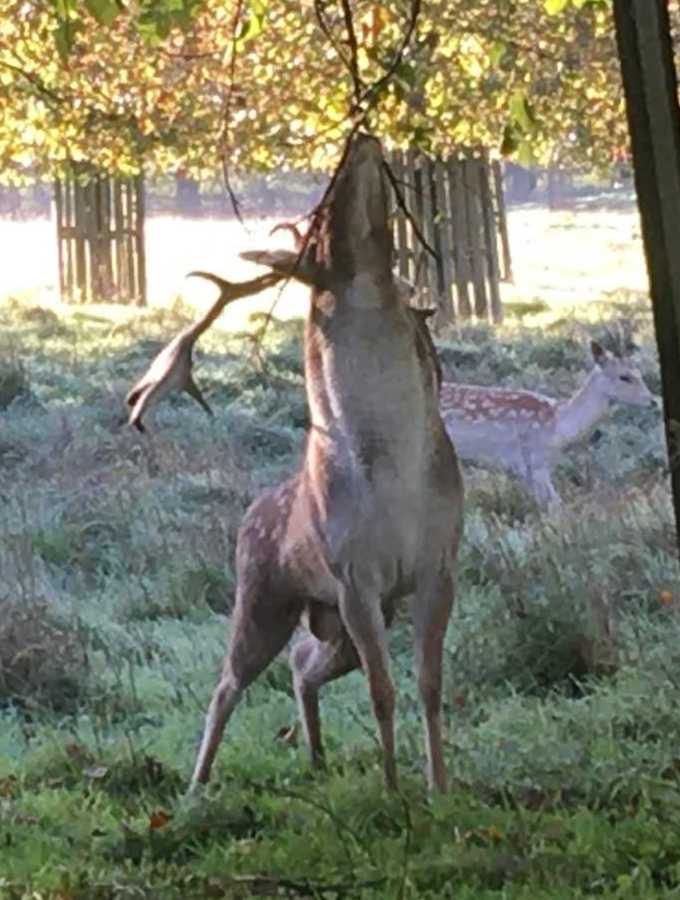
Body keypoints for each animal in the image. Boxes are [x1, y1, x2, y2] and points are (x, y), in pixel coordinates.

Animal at [182, 134, 464, 793]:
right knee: (227, 684)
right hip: (262, 595)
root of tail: (250, 513)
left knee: (302, 662)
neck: (394, 469)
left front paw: (439, 787)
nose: (360, 138)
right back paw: (196, 785)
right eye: (317, 230)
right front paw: (393, 790)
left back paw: (313, 753)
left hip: (330, 619)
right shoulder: (354, 573)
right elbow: (384, 693)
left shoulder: (439, 563)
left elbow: (430, 686)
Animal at [438, 340, 656, 508]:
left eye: (640, 374)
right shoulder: (534, 460)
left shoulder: (531, 468)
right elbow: (555, 506)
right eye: (624, 377)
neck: (558, 427)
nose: (652, 400)